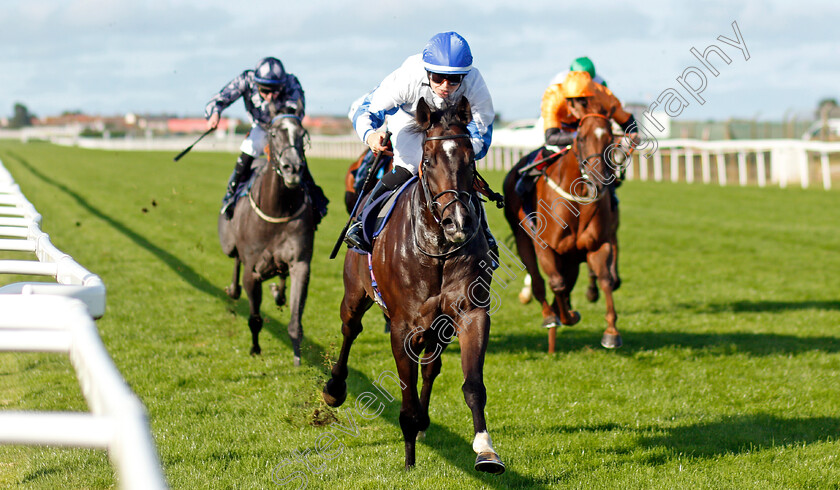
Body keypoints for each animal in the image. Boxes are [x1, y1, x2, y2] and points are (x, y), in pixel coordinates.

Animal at [218, 108, 316, 368]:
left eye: (302, 134)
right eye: (273, 133)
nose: (292, 168)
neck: (278, 209)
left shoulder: (300, 263)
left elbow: (295, 321)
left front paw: (297, 358)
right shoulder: (252, 270)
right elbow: (254, 318)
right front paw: (255, 349)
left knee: (280, 282)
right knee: (235, 262)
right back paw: (233, 290)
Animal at [322, 97, 506, 472]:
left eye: (470, 157)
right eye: (428, 159)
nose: (458, 222)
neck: (437, 250)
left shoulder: (470, 312)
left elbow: (473, 385)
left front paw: (486, 450)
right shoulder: (402, 325)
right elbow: (404, 391)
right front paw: (409, 459)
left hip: (439, 326)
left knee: (431, 365)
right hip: (355, 294)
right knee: (350, 329)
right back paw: (335, 387)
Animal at [502, 105, 620, 352]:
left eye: (610, 138)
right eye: (581, 138)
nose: (599, 179)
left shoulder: (596, 245)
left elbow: (605, 279)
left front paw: (611, 332)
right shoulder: (545, 246)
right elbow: (556, 284)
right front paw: (565, 316)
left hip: (572, 256)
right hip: (523, 238)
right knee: (539, 282)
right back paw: (549, 316)